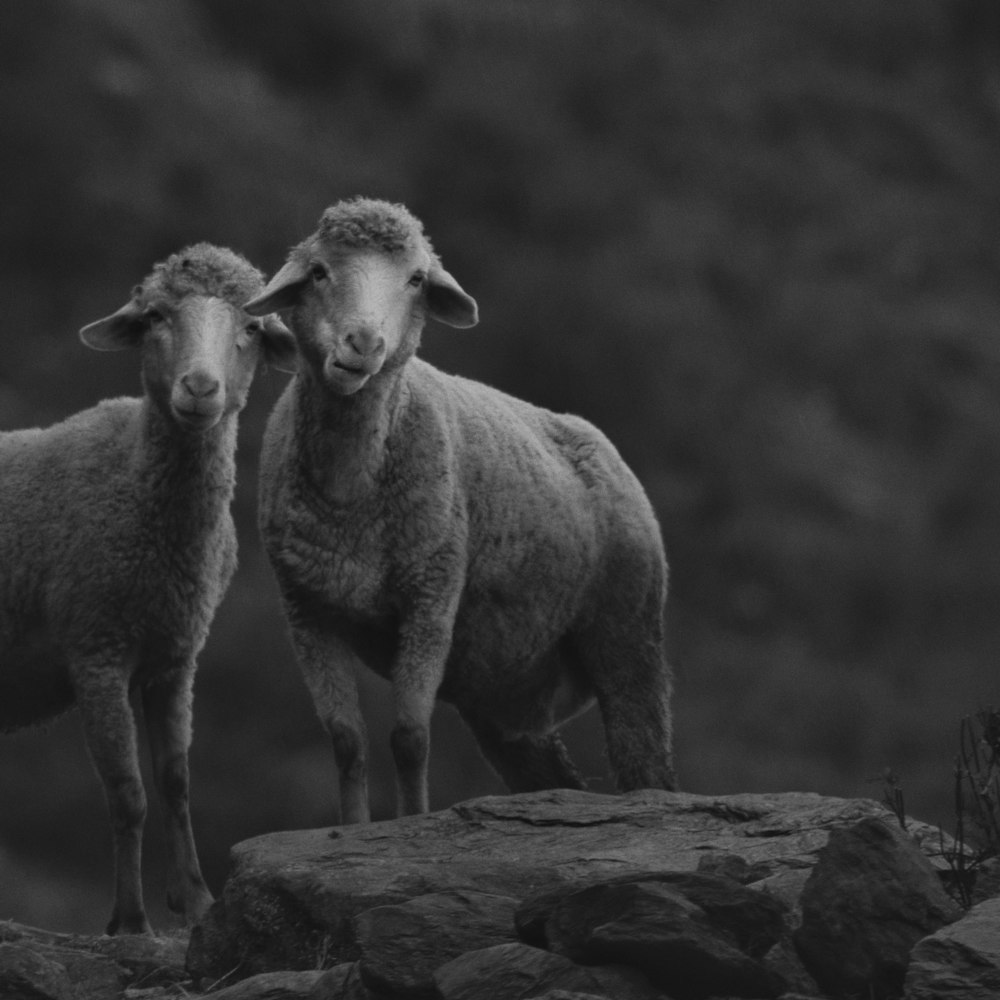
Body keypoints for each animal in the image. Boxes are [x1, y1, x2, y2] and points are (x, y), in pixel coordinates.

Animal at [0, 244, 294, 936]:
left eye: (251, 327)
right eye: (156, 316)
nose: (201, 388)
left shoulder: (176, 656)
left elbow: (175, 781)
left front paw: (196, 901)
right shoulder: (96, 649)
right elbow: (128, 793)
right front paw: (130, 920)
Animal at [245, 199, 676, 824]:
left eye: (415, 279)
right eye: (320, 271)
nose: (363, 343)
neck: (351, 491)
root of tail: (601, 445)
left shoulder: (431, 596)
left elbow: (409, 737)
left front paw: (411, 823)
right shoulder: (307, 608)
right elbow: (347, 742)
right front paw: (352, 830)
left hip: (627, 632)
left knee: (647, 765)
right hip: (499, 690)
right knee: (553, 777)